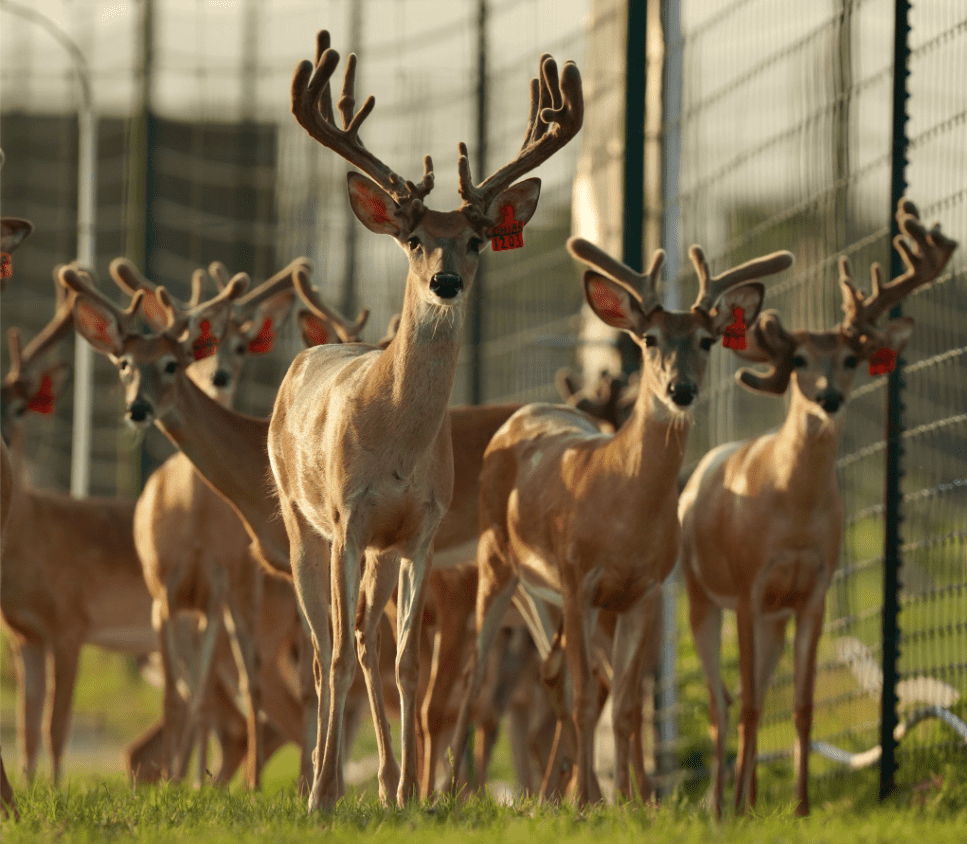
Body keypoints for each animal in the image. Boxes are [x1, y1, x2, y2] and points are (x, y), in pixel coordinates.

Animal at [268, 29, 582, 810]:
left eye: (474, 240)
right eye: (413, 241)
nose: (445, 281)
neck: (397, 445)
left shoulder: (422, 528)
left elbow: (408, 661)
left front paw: (411, 793)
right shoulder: (348, 517)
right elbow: (339, 654)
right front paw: (324, 796)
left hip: (380, 551)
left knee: (367, 646)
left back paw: (383, 783)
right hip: (298, 519)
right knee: (324, 650)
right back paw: (321, 786)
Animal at [447, 236, 794, 806]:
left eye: (707, 340)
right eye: (650, 339)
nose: (680, 390)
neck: (624, 513)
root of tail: (523, 414)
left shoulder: (643, 593)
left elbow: (628, 706)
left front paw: (632, 803)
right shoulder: (577, 579)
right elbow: (589, 697)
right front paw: (587, 801)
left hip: (547, 596)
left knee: (553, 670)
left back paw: (551, 792)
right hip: (498, 560)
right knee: (479, 678)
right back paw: (450, 792)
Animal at [678, 199, 957, 818]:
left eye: (852, 357)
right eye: (801, 357)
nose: (828, 397)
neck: (795, 515)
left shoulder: (815, 590)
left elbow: (801, 707)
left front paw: (801, 807)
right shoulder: (749, 584)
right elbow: (748, 707)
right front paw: (740, 809)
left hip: (774, 619)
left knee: (751, 696)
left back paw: (749, 799)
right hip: (701, 595)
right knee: (722, 704)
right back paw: (720, 806)